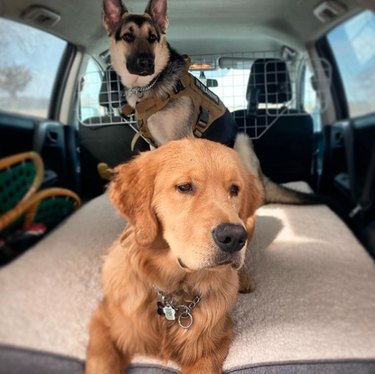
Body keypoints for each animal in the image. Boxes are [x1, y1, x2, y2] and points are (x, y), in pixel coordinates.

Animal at [86, 139, 260, 372]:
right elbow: (101, 362)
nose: (233, 237)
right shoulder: (105, 322)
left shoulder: (209, 346)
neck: (173, 293)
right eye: (184, 187)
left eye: (234, 189)